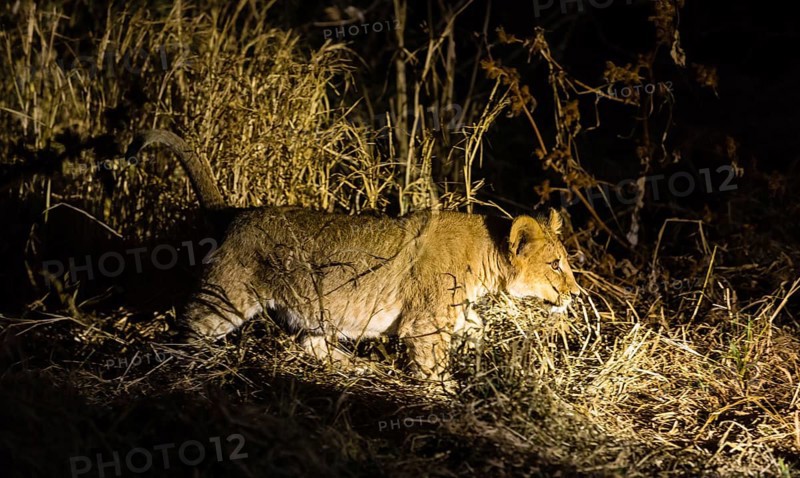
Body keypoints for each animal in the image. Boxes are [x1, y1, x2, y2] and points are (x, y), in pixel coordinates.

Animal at [126, 130, 581, 380]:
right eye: (555, 265)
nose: (576, 294)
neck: (486, 253)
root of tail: (234, 212)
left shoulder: (456, 312)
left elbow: (476, 327)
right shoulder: (424, 324)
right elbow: (432, 366)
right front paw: (446, 395)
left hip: (314, 309)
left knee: (309, 343)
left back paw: (359, 367)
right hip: (226, 300)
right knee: (187, 327)